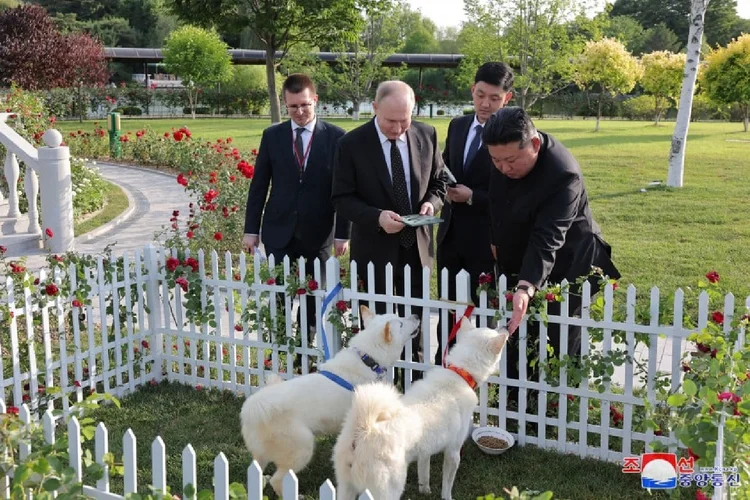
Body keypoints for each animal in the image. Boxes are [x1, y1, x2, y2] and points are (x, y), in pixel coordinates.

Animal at [239, 306, 420, 494]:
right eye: (400, 323)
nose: (416, 315)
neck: (368, 359)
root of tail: (251, 408)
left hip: (262, 454)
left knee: (257, 471)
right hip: (303, 448)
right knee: (278, 479)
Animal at [334, 320, 512, 500]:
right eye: (494, 330)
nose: (506, 325)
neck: (460, 373)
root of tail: (364, 428)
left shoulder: (425, 452)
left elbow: (424, 473)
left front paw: (425, 490)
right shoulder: (453, 452)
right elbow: (447, 485)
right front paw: (446, 497)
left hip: (345, 488)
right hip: (389, 490)